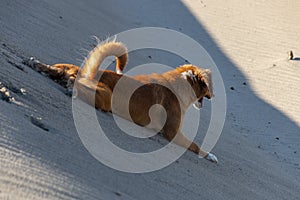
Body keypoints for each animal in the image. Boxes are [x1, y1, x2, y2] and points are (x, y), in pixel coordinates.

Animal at [26, 40, 218, 162]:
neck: (182, 82)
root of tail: (87, 73)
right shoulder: (173, 132)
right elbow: (195, 145)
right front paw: (210, 156)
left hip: (66, 68)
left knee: (57, 71)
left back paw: (37, 64)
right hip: (106, 95)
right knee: (76, 85)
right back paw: (69, 86)